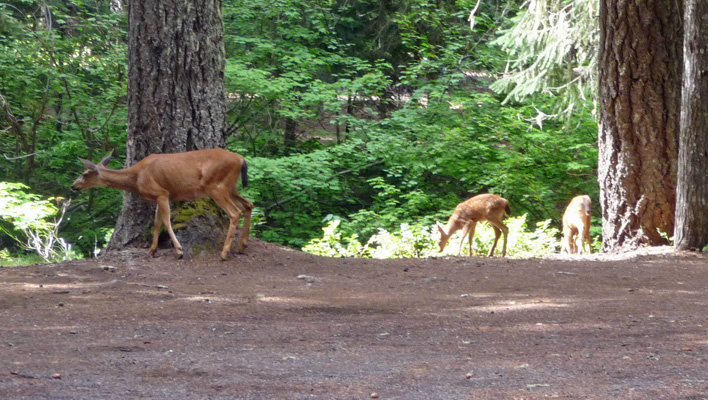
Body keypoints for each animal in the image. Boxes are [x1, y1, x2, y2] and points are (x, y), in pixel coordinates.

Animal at [72, 148, 253, 260]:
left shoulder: (162, 193)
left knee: (235, 212)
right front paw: (152, 250)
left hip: (216, 186)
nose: (73, 186)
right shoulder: (159, 196)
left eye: (84, 174)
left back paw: (224, 253)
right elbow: (157, 222)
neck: (136, 178)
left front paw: (179, 250)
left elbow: (165, 221)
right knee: (249, 205)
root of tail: (241, 159)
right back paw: (242, 246)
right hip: (231, 187)